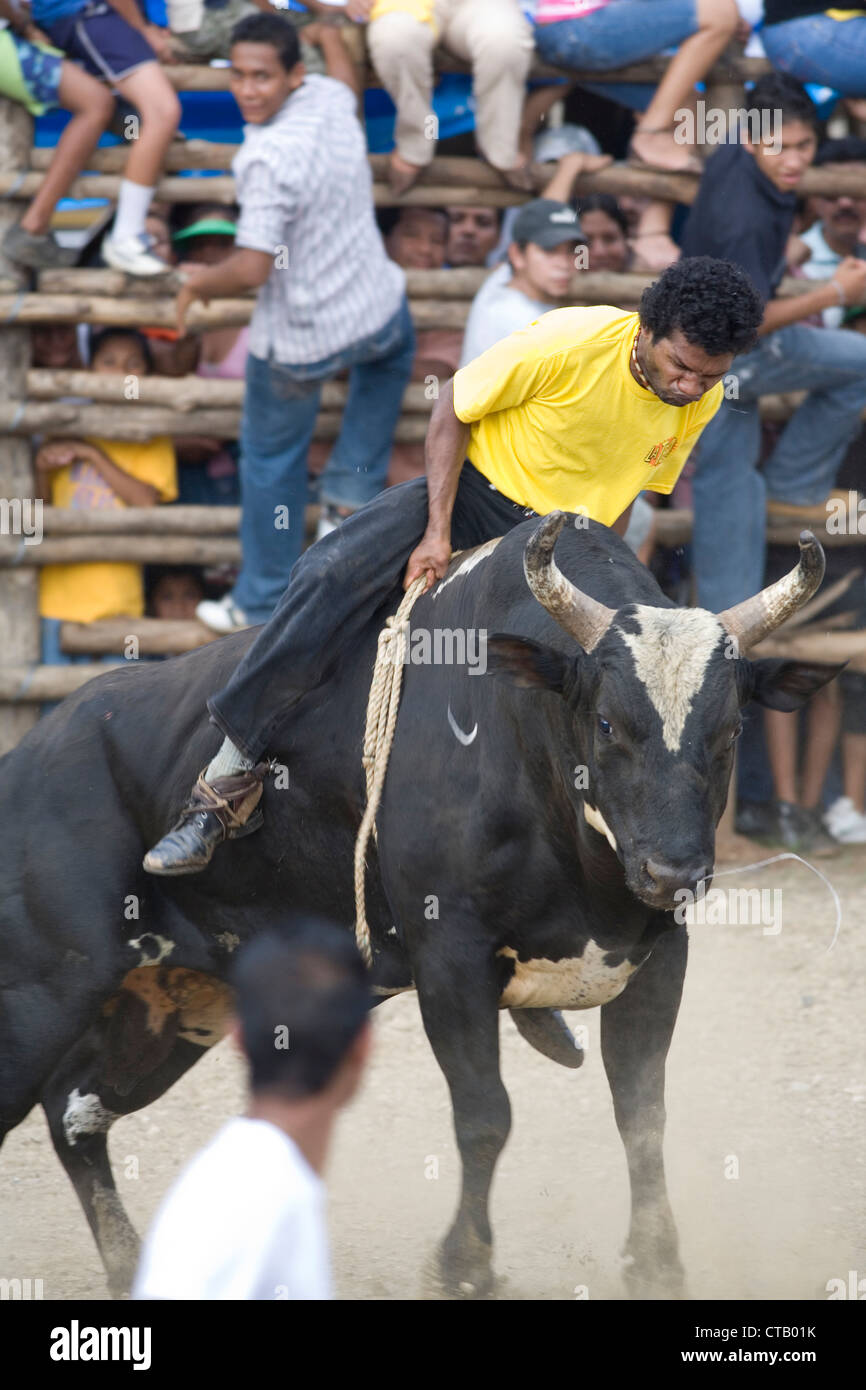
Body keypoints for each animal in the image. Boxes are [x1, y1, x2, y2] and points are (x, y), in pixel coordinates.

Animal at [0, 517, 839, 1295]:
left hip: (175, 1007)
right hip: (43, 991)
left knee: (76, 1112)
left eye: (730, 729)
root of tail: (37, 748)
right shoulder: (451, 960)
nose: (674, 870)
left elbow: (641, 1114)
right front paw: (463, 1265)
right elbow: (485, 1116)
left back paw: (130, 1265)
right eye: (607, 723)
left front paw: (656, 1264)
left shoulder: (657, 955)